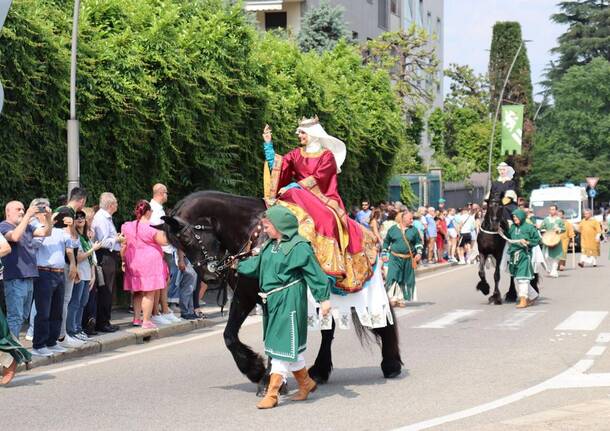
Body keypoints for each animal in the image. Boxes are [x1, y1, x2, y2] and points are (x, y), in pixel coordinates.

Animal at [159, 191, 402, 394]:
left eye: (187, 238)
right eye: (178, 246)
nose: (210, 277)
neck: (252, 233)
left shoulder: (272, 295)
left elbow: (271, 336)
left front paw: (268, 380)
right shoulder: (245, 296)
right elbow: (229, 336)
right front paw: (255, 370)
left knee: (382, 320)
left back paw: (391, 364)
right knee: (328, 332)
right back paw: (320, 370)